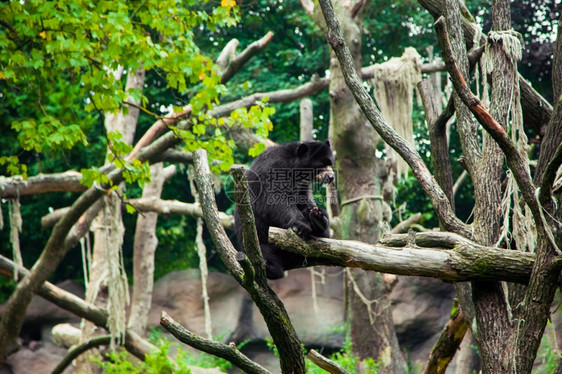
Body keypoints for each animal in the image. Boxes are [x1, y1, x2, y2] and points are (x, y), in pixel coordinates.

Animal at [233, 140, 332, 278]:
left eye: (330, 163)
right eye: (322, 165)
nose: (331, 177)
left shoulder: (302, 185)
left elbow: (304, 200)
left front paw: (318, 216)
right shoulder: (274, 170)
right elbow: (275, 201)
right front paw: (302, 225)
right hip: (257, 239)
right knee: (265, 252)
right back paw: (270, 267)